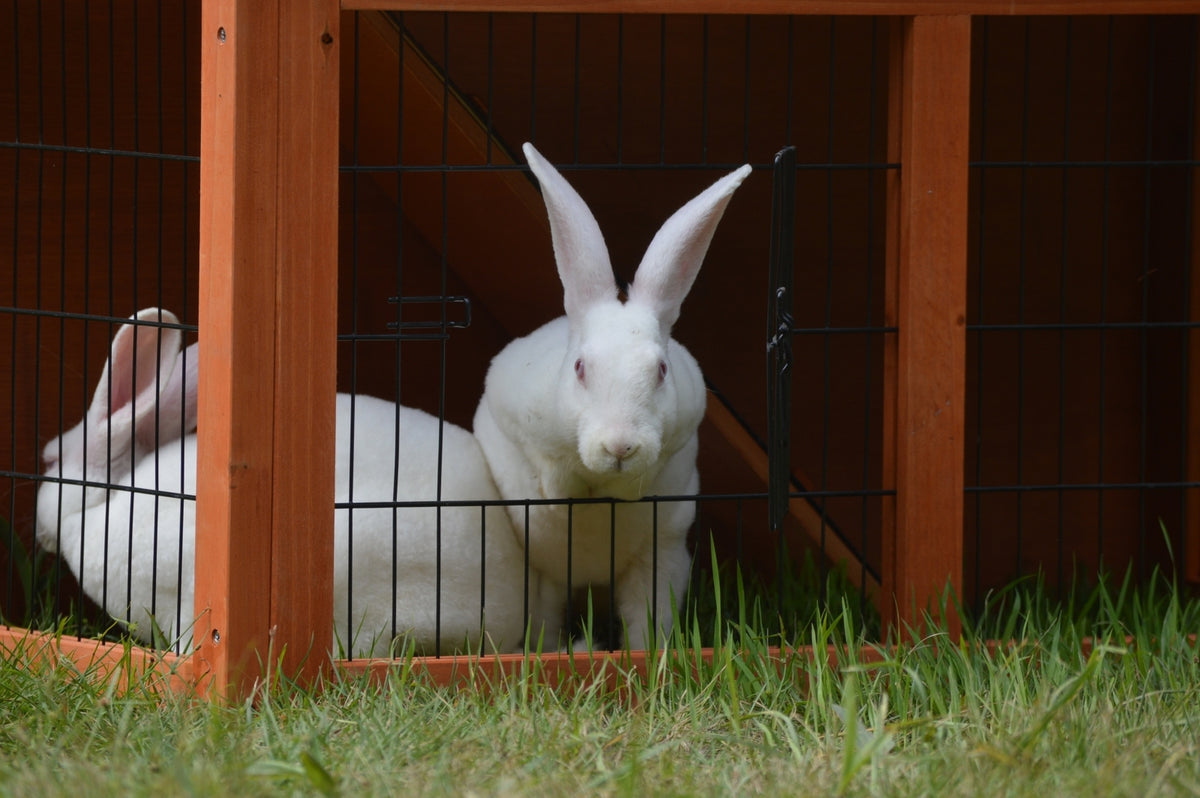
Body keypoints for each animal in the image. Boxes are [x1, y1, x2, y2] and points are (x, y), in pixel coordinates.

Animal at [472, 142, 752, 650]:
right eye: (581, 368)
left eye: (660, 370)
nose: (620, 446)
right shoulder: (518, 425)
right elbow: (552, 474)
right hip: (543, 582)